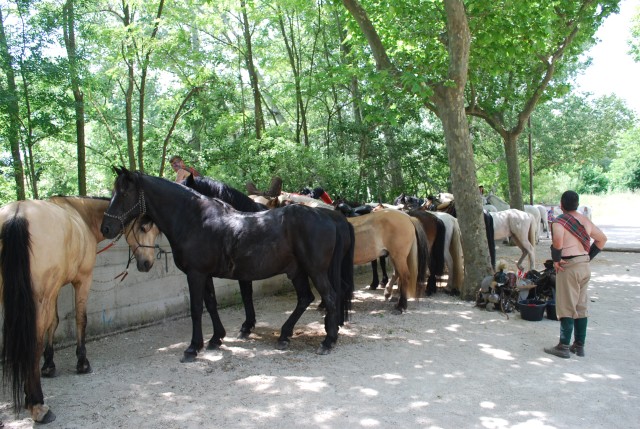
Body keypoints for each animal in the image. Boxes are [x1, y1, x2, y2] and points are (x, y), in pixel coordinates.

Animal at [0, 196, 159, 422]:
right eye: (144, 227)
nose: (147, 263)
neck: (82, 216)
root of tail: (17, 214)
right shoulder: (82, 280)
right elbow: (80, 319)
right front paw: (82, 362)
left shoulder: (56, 288)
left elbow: (54, 322)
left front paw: (49, 365)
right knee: (32, 344)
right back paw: (38, 405)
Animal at [102, 167, 358, 362]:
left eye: (124, 193)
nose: (106, 228)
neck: (195, 220)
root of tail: (329, 217)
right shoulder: (205, 274)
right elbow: (211, 304)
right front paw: (216, 338)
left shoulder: (195, 274)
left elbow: (196, 309)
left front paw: (192, 348)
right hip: (297, 271)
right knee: (306, 298)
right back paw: (286, 335)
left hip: (316, 271)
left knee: (330, 297)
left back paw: (327, 341)